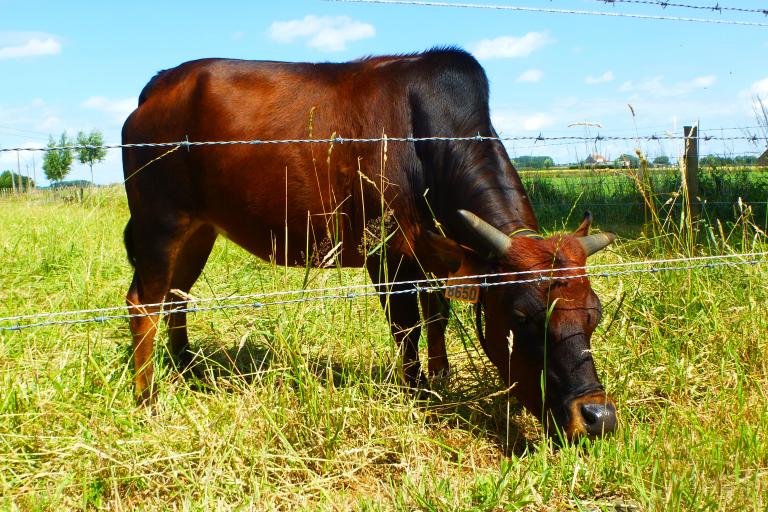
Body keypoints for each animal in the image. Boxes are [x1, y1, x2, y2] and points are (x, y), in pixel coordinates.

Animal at [123, 48, 620, 438]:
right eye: (522, 317)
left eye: (594, 314)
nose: (596, 417)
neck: (426, 137)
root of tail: (160, 83)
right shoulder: (388, 253)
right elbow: (407, 326)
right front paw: (417, 390)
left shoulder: (434, 256)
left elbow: (436, 314)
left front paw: (441, 377)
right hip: (160, 224)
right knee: (143, 304)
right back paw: (147, 400)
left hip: (199, 231)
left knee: (177, 297)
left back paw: (187, 368)